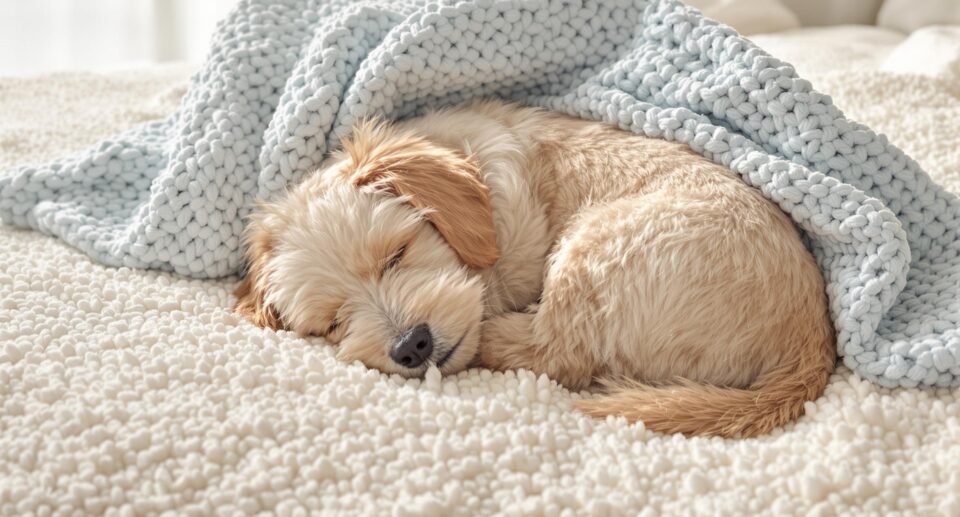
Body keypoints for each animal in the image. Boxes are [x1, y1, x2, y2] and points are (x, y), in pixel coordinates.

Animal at [236, 100, 836, 436]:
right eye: (333, 321)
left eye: (397, 253)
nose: (411, 346)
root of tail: (811, 344)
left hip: (594, 246)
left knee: (559, 355)